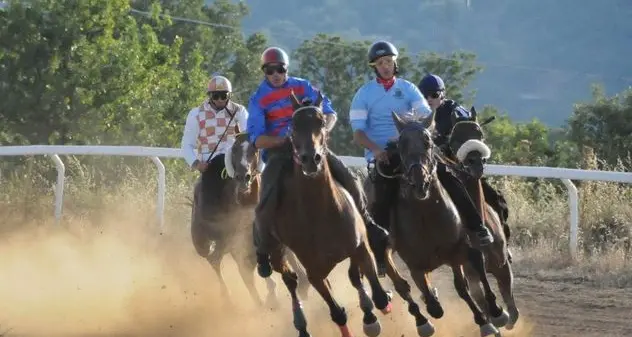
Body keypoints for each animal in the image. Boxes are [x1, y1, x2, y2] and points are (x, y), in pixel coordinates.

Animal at [190, 132, 308, 310]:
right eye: (234, 150)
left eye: (254, 150)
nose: (243, 177)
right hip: (206, 242)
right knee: (217, 261)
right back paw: (234, 298)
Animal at [256, 90, 390, 336]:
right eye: (293, 125)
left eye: (320, 121)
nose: (311, 158)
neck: (320, 213)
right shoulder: (314, 272)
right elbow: (336, 311)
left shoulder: (359, 246)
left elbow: (376, 293)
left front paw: (373, 313)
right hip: (276, 251)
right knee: (290, 280)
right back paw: (300, 324)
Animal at [376, 111, 508, 336]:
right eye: (401, 145)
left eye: (428, 142)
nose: (419, 181)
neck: (427, 215)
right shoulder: (415, 263)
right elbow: (431, 300)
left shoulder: (462, 248)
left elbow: (465, 285)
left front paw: (493, 315)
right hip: (387, 250)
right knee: (401, 285)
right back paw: (422, 319)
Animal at [446, 107, 516, 328]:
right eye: (454, 139)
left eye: (480, 134)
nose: (475, 162)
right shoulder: (473, 274)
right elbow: (484, 300)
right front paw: (496, 317)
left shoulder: (502, 266)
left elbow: (513, 310)